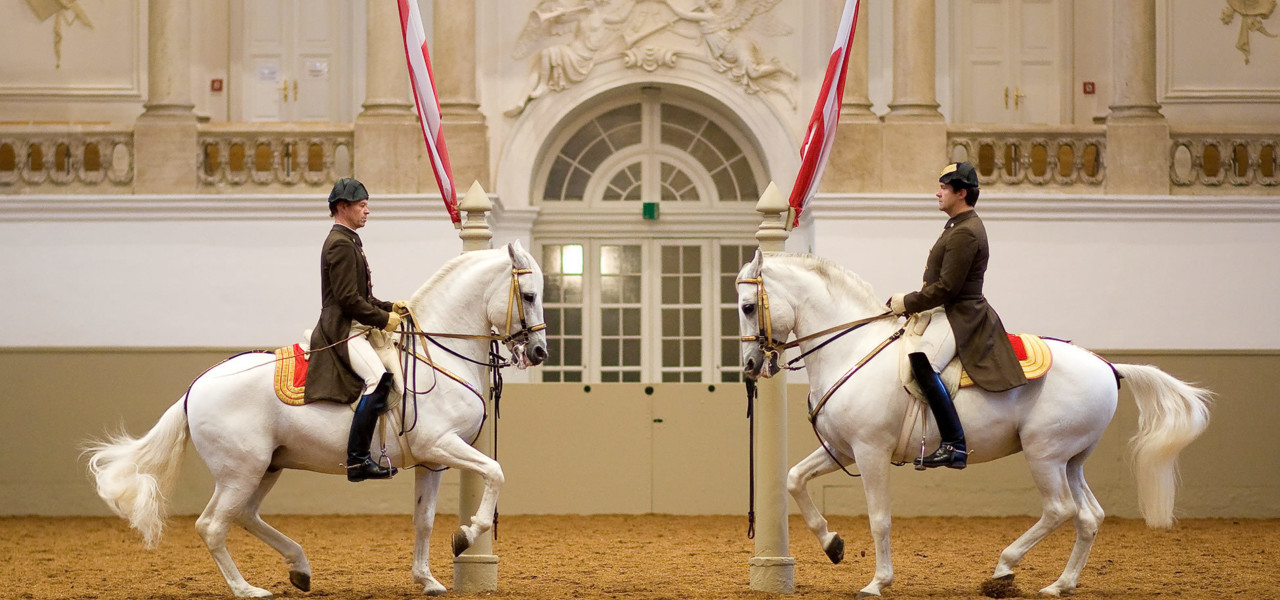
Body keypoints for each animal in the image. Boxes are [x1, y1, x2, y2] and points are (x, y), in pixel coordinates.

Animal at [85, 240, 545, 596]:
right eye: (529, 295)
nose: (539, 352)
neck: (437, 355)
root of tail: (195, 387)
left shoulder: (432, 460)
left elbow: (424, 520)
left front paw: (427, 579)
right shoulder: (441, 443)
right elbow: (495, 472)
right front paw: (467, 534)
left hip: (265, 467)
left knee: (244, 516)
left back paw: (300, 567)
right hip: (241, 470)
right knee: (214, 525)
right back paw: (247, 589)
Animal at [737, 250, 1213, 596]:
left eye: (746, 306)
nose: (750, 365)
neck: (851, 349)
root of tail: (1109, 366)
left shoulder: (870, 452)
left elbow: (879, 518)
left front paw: (877, 582)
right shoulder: (842, 449)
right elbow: (794, 479)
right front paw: (832, 544)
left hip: (1045, 454)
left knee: (1060, 510)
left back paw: (1004, 568)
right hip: (1071, 460)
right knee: (1088, 516)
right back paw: (1060, 585)